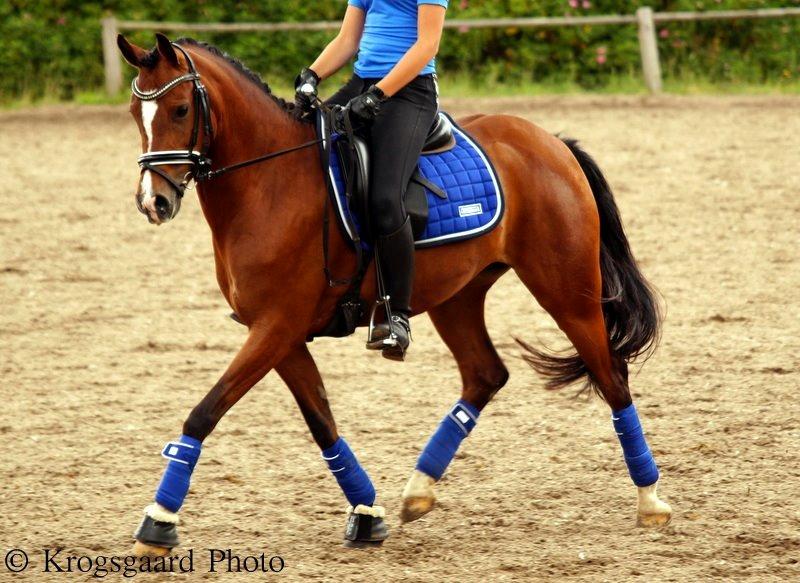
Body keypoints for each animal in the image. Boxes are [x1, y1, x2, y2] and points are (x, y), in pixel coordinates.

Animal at [117, 34, 668, 556]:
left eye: (180, 109)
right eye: (134, 114)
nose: (153, 202)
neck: (269, 183)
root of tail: (550, 142)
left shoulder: (277, 326)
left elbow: (205, 411)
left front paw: (158, 523)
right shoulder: (279, 333)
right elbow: (321, 421)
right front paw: (366, 514)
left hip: (566, 290)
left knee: (611, 376)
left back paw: (651, 501)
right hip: (457, 296)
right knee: (486, 375)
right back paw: (418, 491)